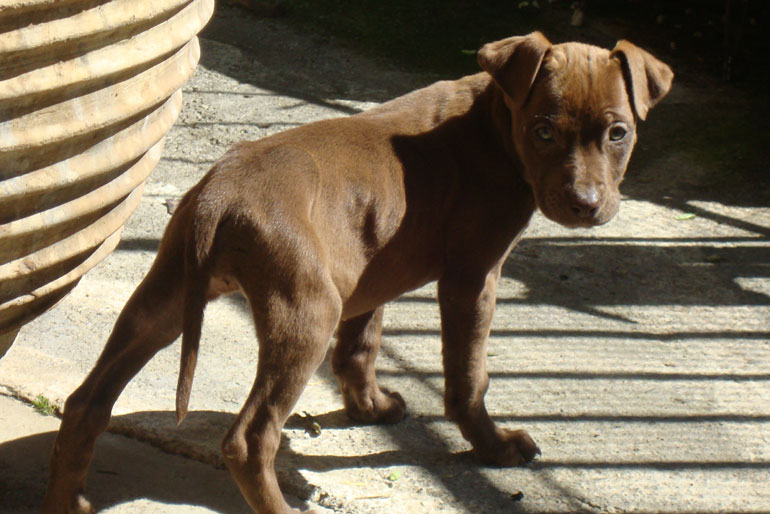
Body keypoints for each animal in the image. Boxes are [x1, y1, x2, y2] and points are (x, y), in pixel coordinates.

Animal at [43, 32, 672, 513]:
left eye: (618, 133)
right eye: (543, 130)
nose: (585, 205)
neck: (495, 124)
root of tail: (217, 193)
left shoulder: (370, 272)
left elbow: (361, 346)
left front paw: (368, 408)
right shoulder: (473, 279)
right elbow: (469, 378)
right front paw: (493, 447)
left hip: (165, 297)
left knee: (86, 403)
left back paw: (68, 501)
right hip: (304, 312)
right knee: (249, 440)